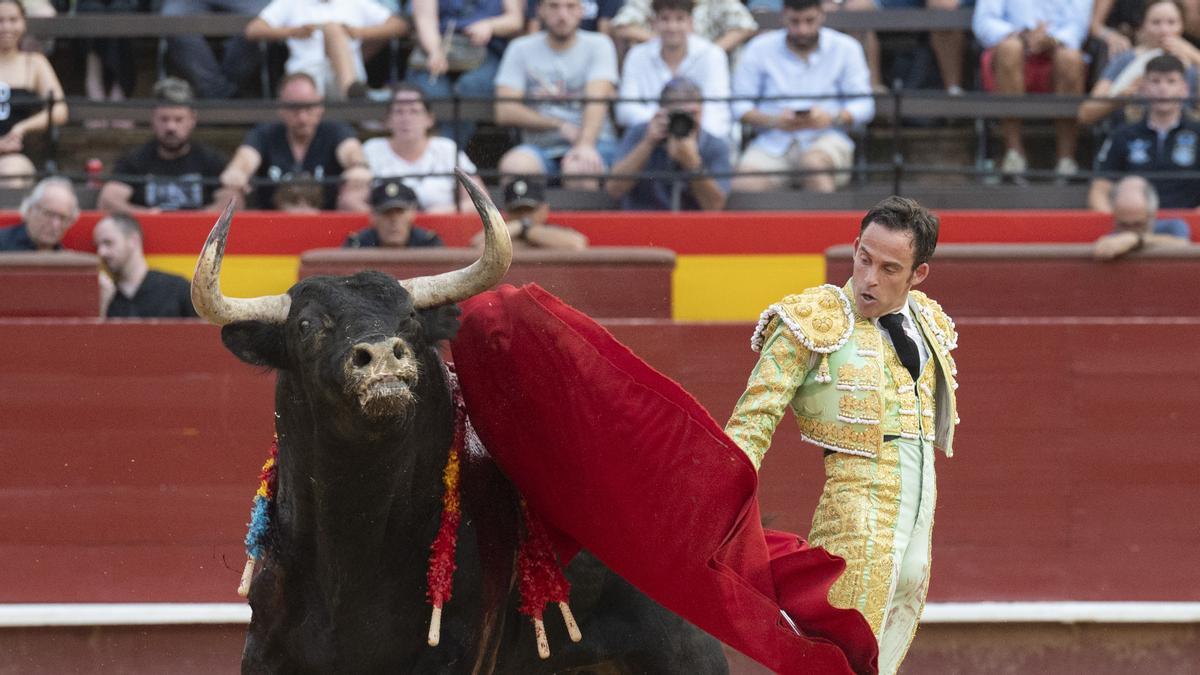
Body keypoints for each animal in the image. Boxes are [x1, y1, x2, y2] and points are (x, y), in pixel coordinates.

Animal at [192, 174, 724, 672]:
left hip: (685, 648)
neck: (354, 534)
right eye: (306, 325)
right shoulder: (267, 649)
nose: (382, 356)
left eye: (409, 318)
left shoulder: (455, 652)